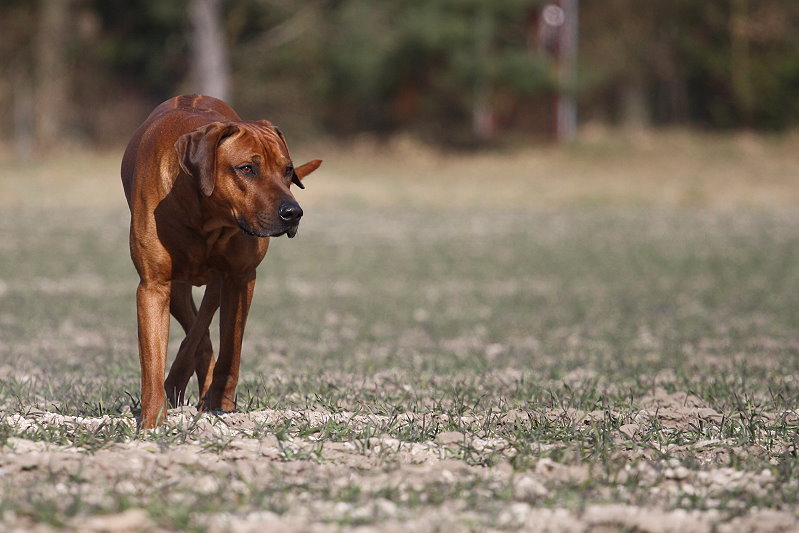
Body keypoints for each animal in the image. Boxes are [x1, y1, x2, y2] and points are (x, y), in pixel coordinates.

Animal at [120, 94, 320, 428]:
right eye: (247, 168)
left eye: (288, 170)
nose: (294, 213)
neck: (206, 215)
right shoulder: (153, 284)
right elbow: (152, 361)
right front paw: (151, 422)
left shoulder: (241, 278)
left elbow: (231, 350)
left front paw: (220, 405)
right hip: (177, 289)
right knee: (196, 331)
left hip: (218, 283)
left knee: (203, 326)